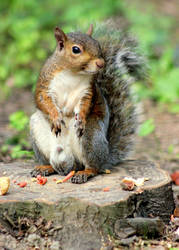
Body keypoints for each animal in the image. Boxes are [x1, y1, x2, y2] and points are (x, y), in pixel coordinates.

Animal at [30, 22, 146, 184]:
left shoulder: (87, 92)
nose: (101, 63)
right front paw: (56, 117)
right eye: (75, 49)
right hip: (37, 129)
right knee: (52, 163)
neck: (72, 73)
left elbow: (85, 105)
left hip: (90, 136)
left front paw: (80, 119)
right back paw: (45, 168)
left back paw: (84, 172)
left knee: (93, 167)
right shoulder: (45, 83)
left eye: (97, 44)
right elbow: (42, 100)